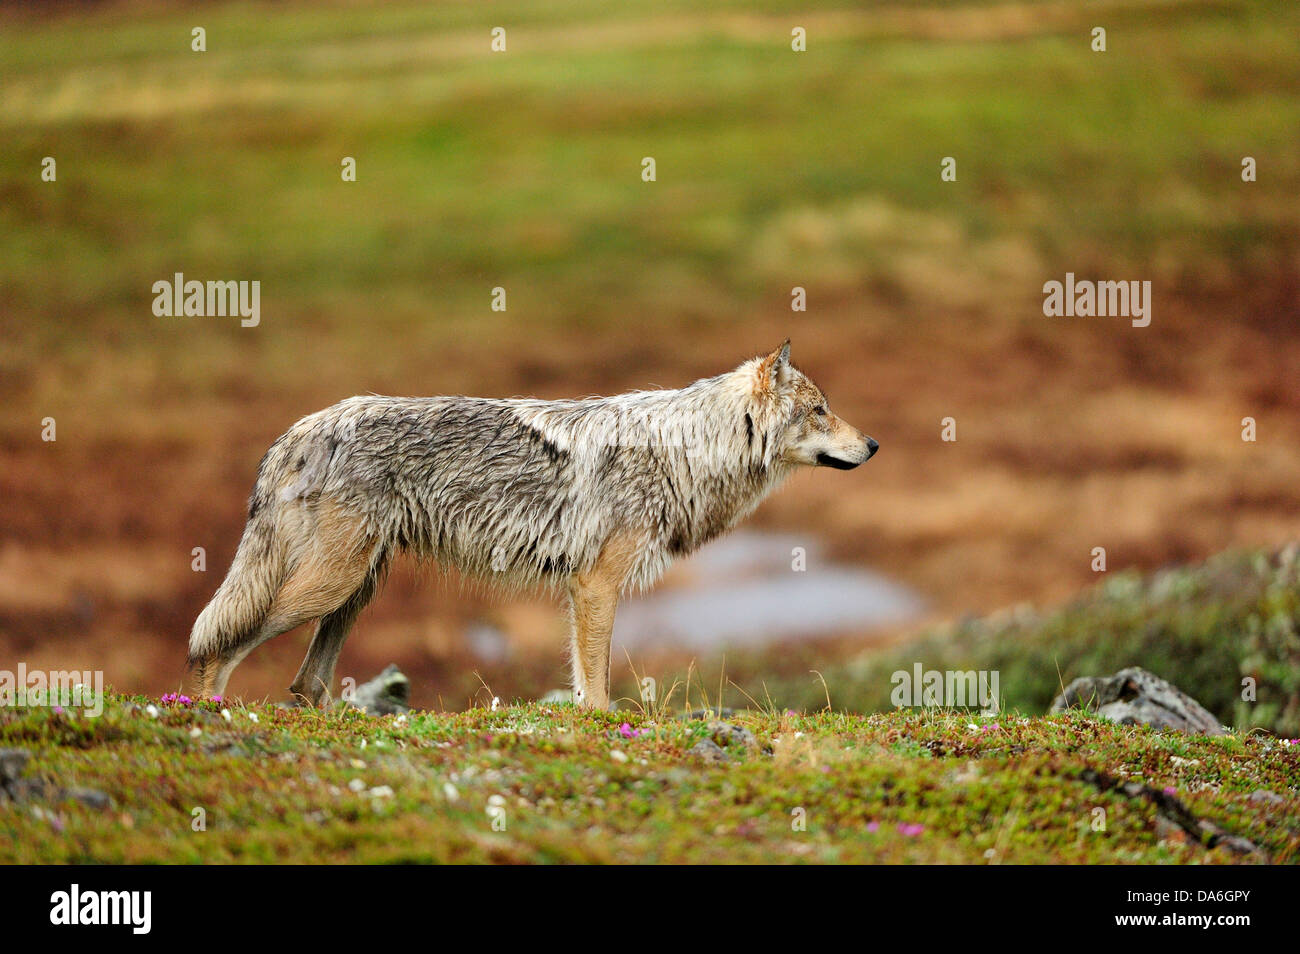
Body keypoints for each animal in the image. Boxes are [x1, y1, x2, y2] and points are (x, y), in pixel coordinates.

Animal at [188, 343, 878, 712]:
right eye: (821, 410)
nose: (873, 443)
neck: (686, 452)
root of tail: (300, 428)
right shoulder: (594, 586)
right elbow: (595, 688)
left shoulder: (588, 589)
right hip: (329, 586)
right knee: (213, 641)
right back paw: (199, 712)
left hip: (354, 591)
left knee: (304, 682)